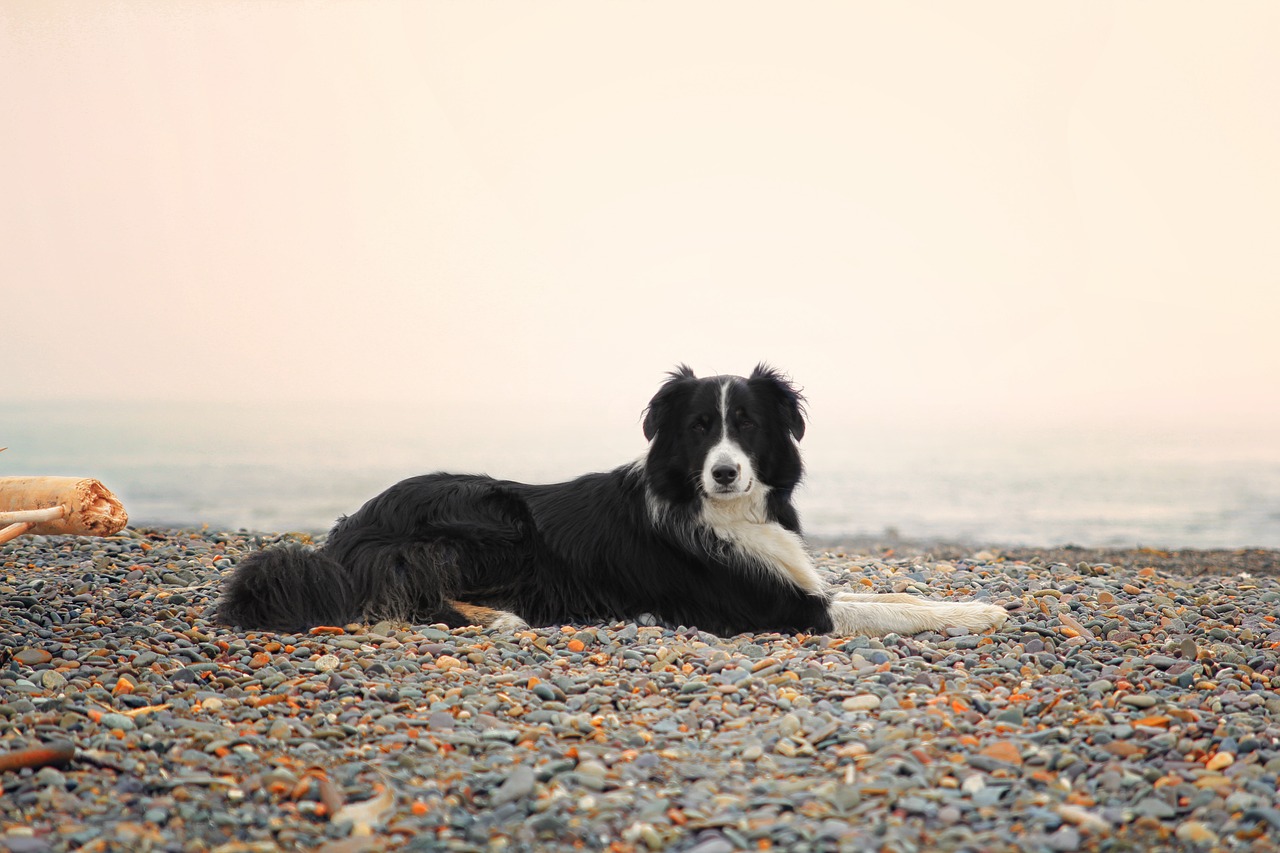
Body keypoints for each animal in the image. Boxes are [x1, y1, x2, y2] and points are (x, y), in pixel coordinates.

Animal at [215, 361, 1003, 635]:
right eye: (698, 428)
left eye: (747, 425)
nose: (725, 473)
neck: (716, 509)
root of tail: (345, 534)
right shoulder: (779, 607)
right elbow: (886, 610)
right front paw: (980, 616)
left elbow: (895, 594)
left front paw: (979, 603)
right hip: (495, 519)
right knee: (411, 596)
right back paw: (500, 618)